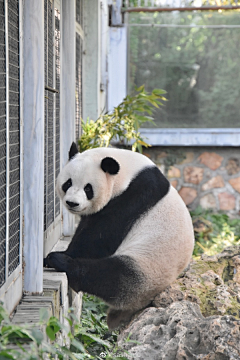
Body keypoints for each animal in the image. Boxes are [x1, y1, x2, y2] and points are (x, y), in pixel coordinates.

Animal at [44, 143, 195, 330]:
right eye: (68, 183)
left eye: (88, 188)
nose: (72, 203)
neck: (127, 173)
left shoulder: (134, 196)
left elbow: (100, 237)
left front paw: (59, 255)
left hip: (148, 267)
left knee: (111, 276)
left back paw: (62, 263)